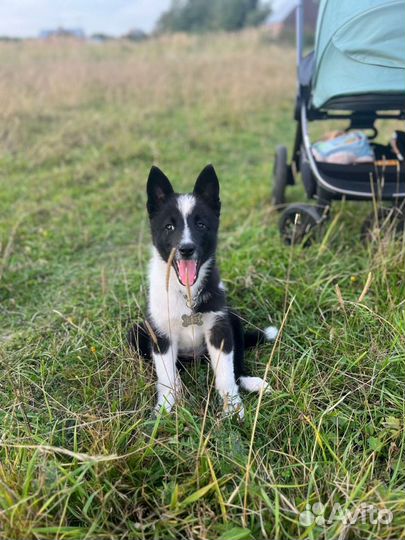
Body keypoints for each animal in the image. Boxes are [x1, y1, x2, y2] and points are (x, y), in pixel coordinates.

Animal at [129, 163, 278, 418]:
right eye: (169, 226)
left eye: (201, 225)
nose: (186, 249)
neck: (186, 294)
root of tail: (196, 357)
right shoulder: (160, 333)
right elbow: (165, 375)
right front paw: (164, 408)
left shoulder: (219, 329)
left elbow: (226, 374)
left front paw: (232, 407)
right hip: (138, 332)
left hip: (232, 319)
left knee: (237, 365)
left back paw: (250, 381)